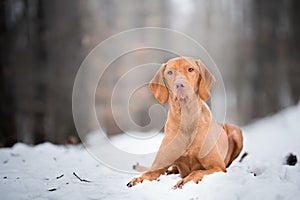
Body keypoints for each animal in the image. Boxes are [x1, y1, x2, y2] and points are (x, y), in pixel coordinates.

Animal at [127, 56, 244, 189]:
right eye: (170, 72)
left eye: (190, 69)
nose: (179, 84)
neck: (186, 119)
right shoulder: (158, 167)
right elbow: (147, 173)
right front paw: (137, 179)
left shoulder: (217, 167)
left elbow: (196, 172)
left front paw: (184, 181)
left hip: (236, 131)